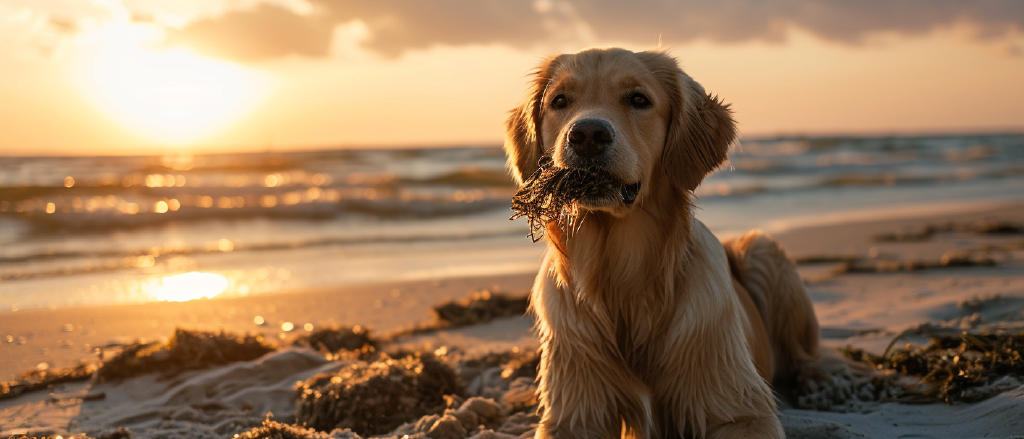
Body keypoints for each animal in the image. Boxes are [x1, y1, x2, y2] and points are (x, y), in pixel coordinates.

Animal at [503, 46, 823, 435]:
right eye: (559, 101)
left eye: (639, 99)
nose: (588, 134)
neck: (622, 278)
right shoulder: (574, 414)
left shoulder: (742, 411)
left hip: (761, 249)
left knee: (807, 352)